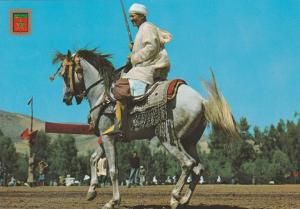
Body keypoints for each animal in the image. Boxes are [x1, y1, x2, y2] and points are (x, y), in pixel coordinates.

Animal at [52, 49, 239, 209]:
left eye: (64, 75)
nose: (65, 98)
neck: (102, 94)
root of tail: (202, 101)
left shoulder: (108, 138)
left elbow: (113, 170)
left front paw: (113, 201)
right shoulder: (108, 137)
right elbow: (93, 159)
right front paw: (91, 192)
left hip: (170, 139)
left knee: (188, 164)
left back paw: (174, 197)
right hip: (189, 142)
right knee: (198, 168)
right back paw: (184, 200)